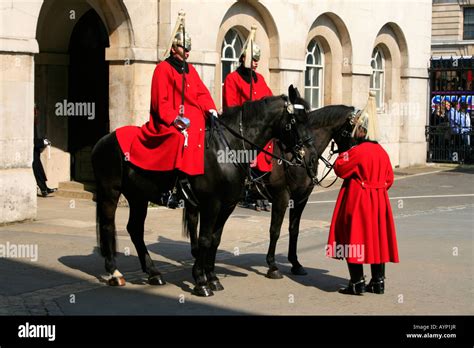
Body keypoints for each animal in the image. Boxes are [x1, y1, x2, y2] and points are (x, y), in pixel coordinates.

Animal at [91, 86, 318, 296]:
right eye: (297, 120)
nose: (311, 157)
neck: (228, 149)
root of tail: (103, 140)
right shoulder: (211, 204)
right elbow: (205, 239)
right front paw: (200, 281)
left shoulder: (227, 205)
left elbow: (215, 240)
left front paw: (212, 278)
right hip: (110, 193)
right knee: (108, 226)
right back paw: (114, 273)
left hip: (139, 197)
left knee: (135, 229)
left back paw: (153, 273)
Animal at [185, 102, 356, 278]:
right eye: (357, 129)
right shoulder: (281, 196)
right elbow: (275, 230)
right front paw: (272, 266)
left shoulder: (301, 199)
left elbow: (294, 230)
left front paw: (295, 263)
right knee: (193, 219)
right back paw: (197, 254)